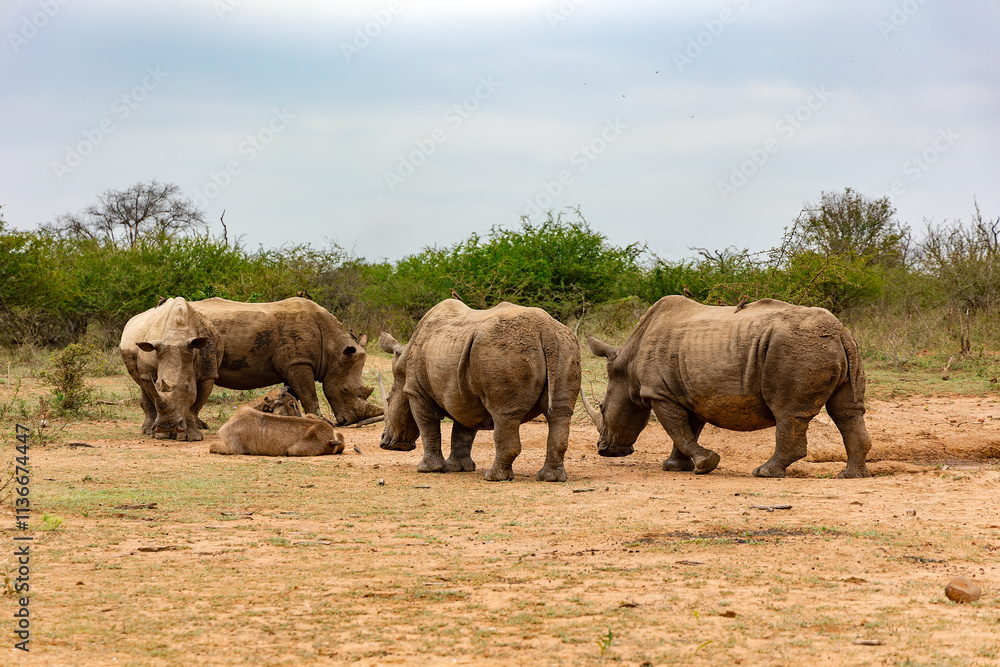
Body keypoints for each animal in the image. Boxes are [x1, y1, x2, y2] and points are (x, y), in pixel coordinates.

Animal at [120, 296, 382, 441]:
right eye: (347, 391)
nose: (353, 421)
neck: (333, 346)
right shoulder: (298, 362)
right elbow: (308, 393)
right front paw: (321, 420)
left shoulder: (294, 364)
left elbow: (294, 393)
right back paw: (152, 430)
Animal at [378, 299, 582, 482]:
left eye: (388, 400)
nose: (384, 442)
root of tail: (545, 328)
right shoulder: (462, 394)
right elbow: (463, 431)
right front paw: (458, 468)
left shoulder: (416, 391)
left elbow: (428, 426)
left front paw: (427, 469)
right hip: (566, 346)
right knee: (560, 414)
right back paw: (550, 478)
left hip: (502, 351)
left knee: (505, 415)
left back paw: (493, 477)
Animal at [583, 296, 872, 478]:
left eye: (602, 407)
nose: (604, 450)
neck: (627, 366)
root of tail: (840, 332)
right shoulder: (689, 392)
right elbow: (688, 430)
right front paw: (675, 466)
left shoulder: (659, 393)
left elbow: (677, 429)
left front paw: (705, 464)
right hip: (839, 347)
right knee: (846, 411)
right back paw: (850, 476)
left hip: (796, 349)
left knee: (788, 413)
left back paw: (764, 473)